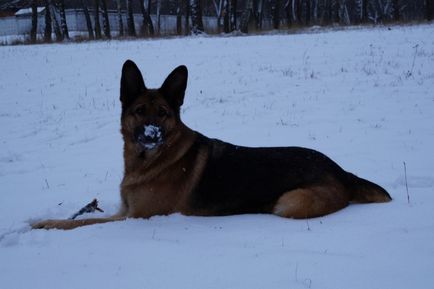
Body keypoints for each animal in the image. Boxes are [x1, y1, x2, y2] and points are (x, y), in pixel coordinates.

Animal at [32, 60, 392, 230]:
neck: (150, 161)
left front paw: (45, 225)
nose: (151, 135)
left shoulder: (136, 217)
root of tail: (341, 170)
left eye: (163, 114)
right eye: (139, 112)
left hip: (289, 202)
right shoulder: (125, 211)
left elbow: (82, 222)